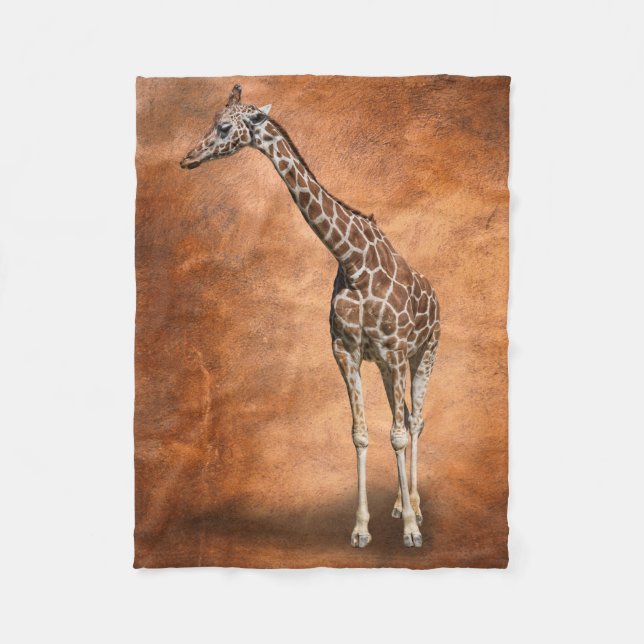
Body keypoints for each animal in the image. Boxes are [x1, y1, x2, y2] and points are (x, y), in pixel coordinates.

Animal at [180, 84, 440, 548]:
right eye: (213, 120)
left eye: (225, 127)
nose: (188, 157)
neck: (353, 261)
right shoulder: (347, 351)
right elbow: (360, 433)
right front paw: (361, 529)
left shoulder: (395, 349)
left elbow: (396, 434)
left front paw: (411, 531)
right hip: (388, 367)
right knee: (408, 417)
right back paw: (398, 505)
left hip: (423, 353)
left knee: (416, 422)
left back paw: (415, 509)